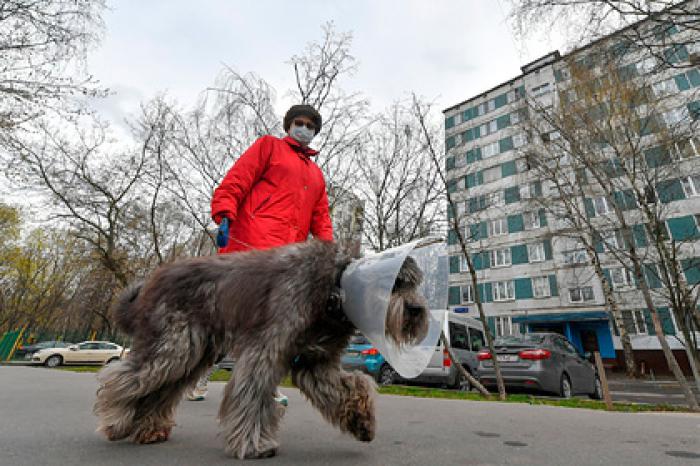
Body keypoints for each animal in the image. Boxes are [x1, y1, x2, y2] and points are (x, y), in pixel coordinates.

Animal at [93, 240, 430, 458]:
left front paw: (362, 421)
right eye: (396, 283)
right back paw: (115, 421)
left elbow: (349, 385)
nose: (416, 310)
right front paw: (253, 445)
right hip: (173, 347)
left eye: (414, 283)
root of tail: (155, 279)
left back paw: (150, 429)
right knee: (124, 375)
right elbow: (251, 395)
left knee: (161, 389)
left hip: (192, 353)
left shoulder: (315, 362)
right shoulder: (265, 351)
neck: (334, 289)